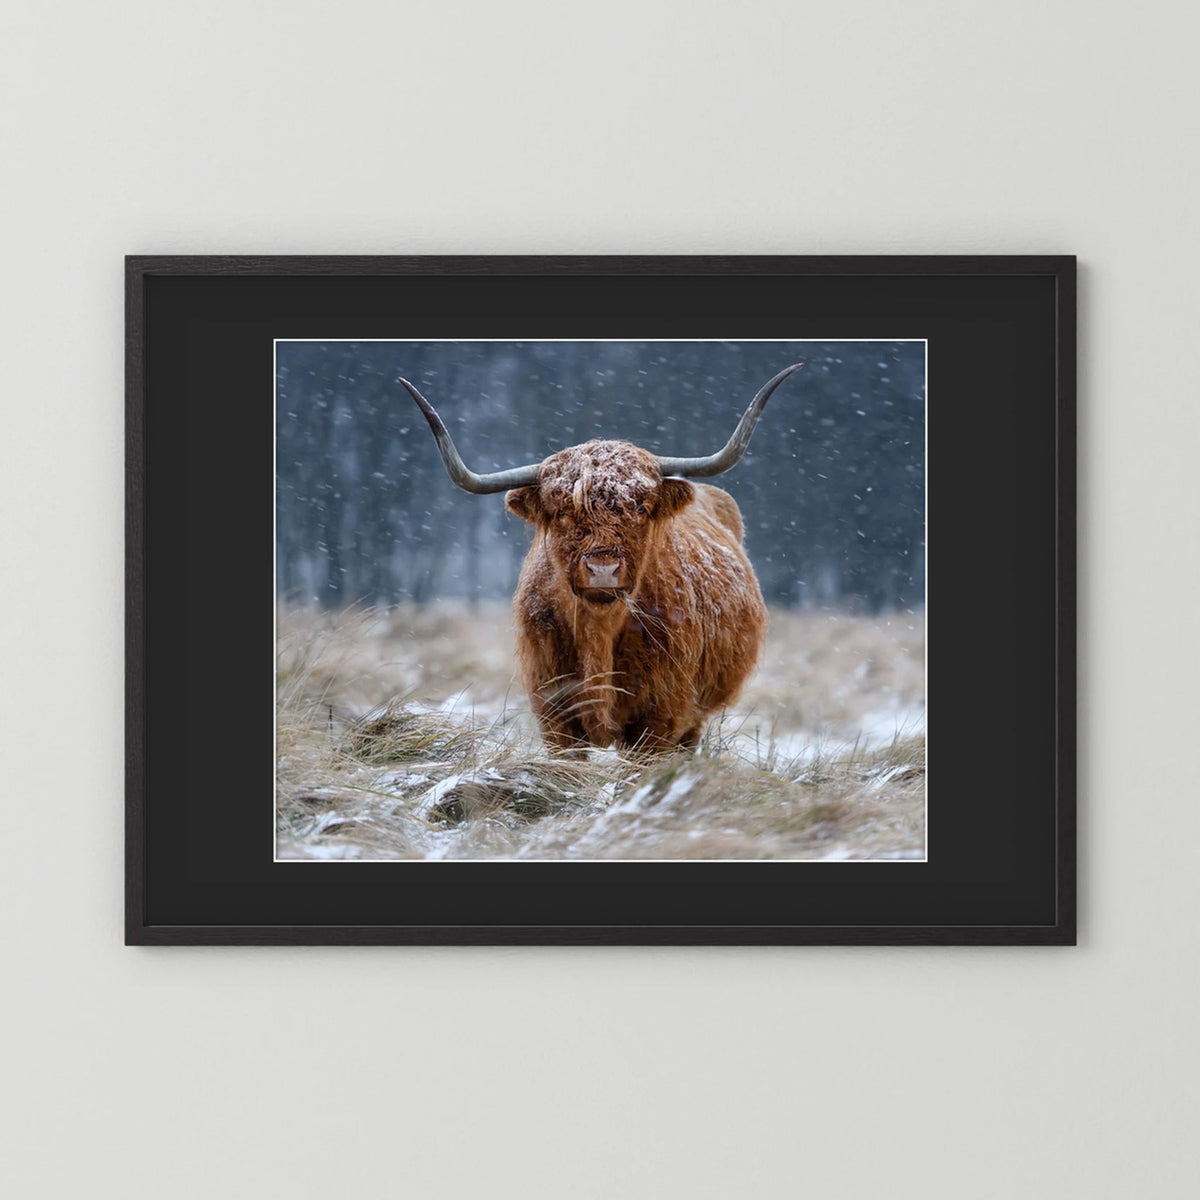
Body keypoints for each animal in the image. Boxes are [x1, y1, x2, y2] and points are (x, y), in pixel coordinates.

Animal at [398, 363, 803, 752]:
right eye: (562, 511)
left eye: (640, 508)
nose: (603, 569)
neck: (599, 632)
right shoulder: (554, 712)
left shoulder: (661, 716)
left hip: (695, 717)